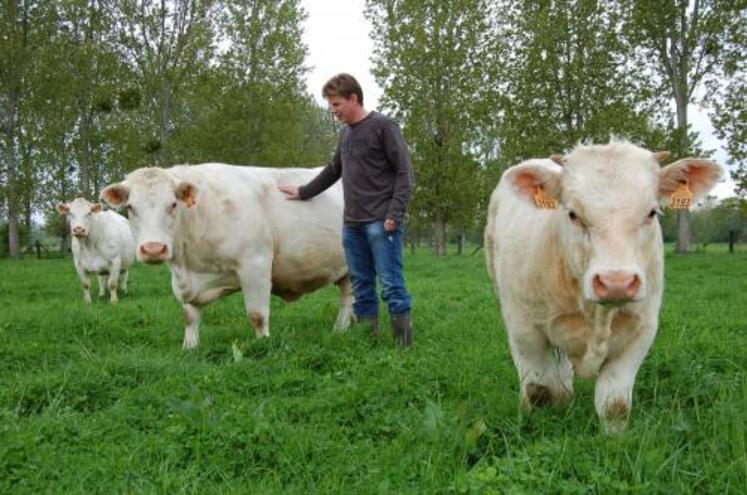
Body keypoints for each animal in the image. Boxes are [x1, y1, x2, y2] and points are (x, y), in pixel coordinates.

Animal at [101, 163, 356, 348]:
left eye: (173, 204)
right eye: (131, 208)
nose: (153, 248)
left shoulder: (255, 264)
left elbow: (257, 315)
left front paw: (263, 345)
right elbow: (190, 318)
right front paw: (189, 348)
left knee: (347, 299)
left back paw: (340, 330)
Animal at [486, 140, 724, 434]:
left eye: (651, 212)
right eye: (572, 214)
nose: (616, 283)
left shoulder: (641, 331)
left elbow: (615, 404)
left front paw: (614, 438)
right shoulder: (525, 330)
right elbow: (538, 391)